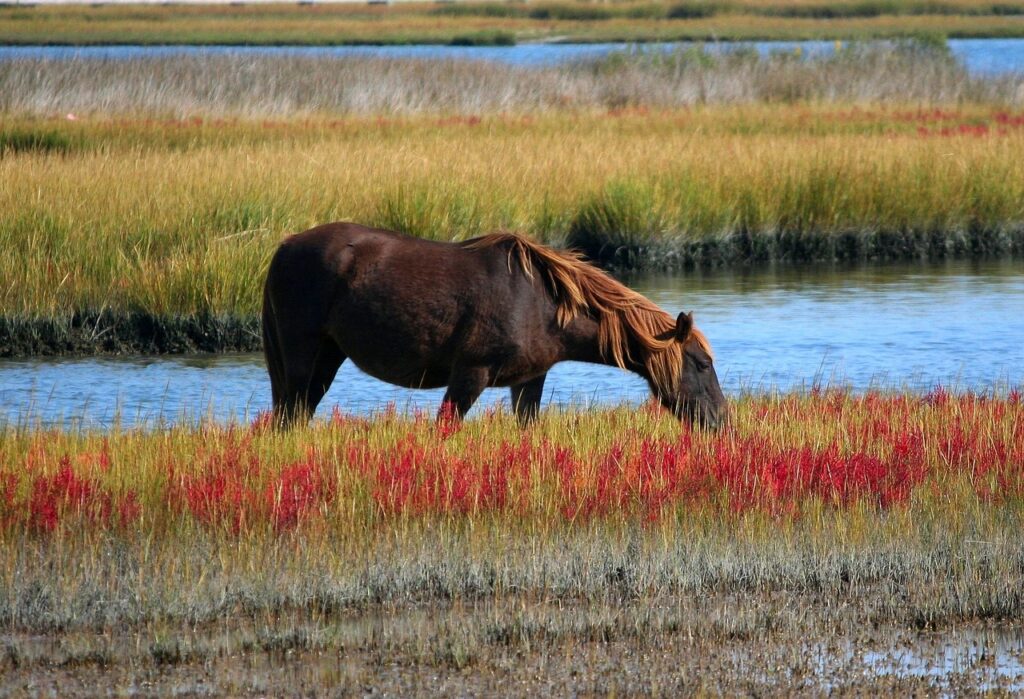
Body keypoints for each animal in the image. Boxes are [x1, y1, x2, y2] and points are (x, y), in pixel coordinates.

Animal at [262, 222, 727, 429]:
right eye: (702, 363)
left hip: (328, 357)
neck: (544, 303)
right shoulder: (470, 374)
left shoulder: (529, 380)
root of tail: (285, 247)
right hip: (302, 357)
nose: (722, 422)